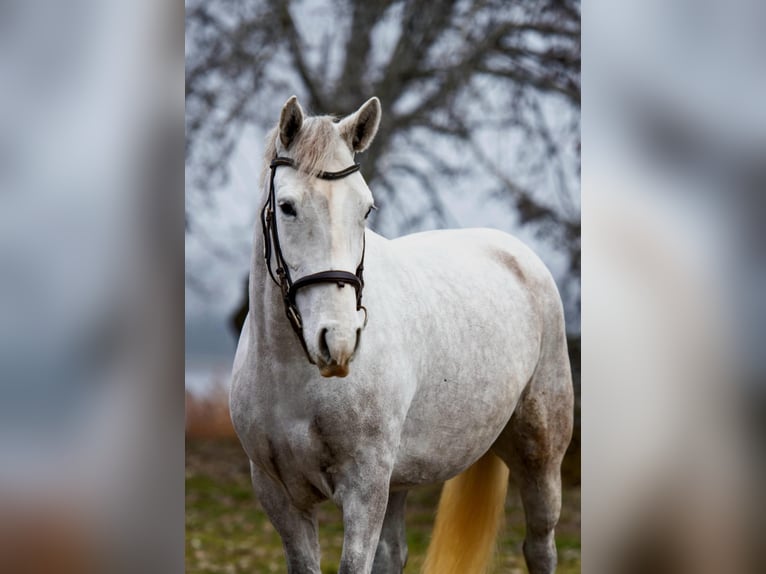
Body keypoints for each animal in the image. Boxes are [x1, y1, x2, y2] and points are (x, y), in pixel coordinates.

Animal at [230, 95, 574, 574]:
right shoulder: (278, 493)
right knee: (394, 553)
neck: (290, 372)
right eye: (287, 207)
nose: (338, 340)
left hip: (540, 455)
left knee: (540, 544)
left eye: (366, 209)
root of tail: (517, 253)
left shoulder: (365, 487)